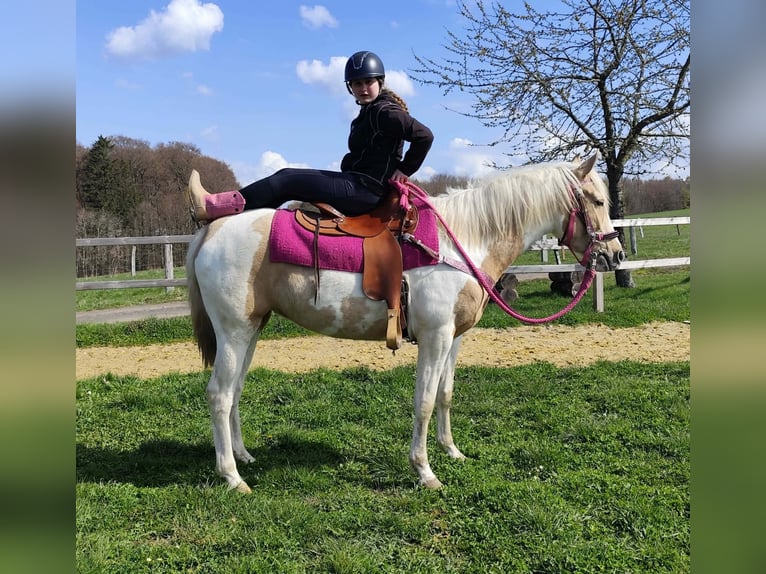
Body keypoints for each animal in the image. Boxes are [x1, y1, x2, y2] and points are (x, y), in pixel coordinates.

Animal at [185, 153, 625, 492]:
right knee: (219, 395)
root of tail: (212, 230)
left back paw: (243, 455)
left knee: (235, 392)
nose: (615, 255)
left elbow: (445, 394)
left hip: (250, 330)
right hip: (233, 332)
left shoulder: (454, 338)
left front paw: (452, 452)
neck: (459, 242)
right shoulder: (435, 337)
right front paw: (424, 471)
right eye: (597, 201)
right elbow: (424, 401)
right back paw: (232, 476)